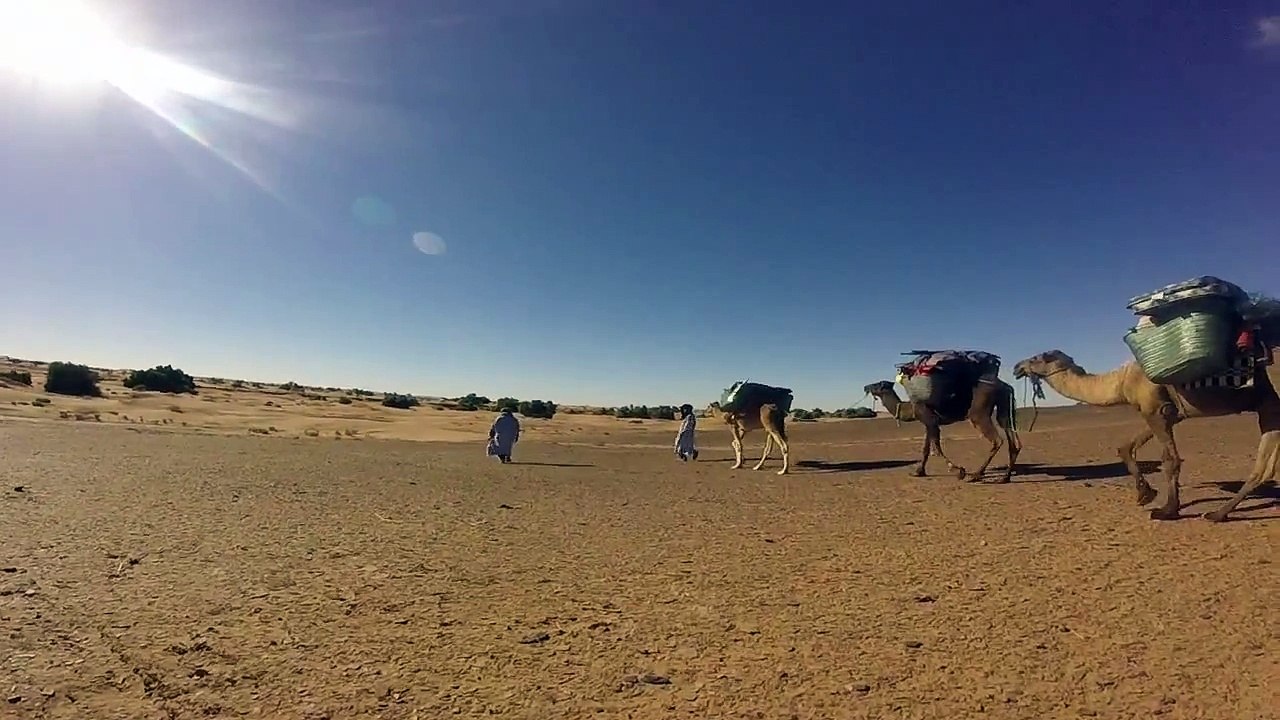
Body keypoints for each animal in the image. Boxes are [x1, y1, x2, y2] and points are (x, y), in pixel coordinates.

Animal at [863, 378, 1021, 483]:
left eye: (877, 384)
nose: (865, 386)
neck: (911, 408)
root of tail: (1006, 386)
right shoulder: (928, 423)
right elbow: (926, 449)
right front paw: (918, 472)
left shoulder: (931, 420)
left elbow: (937, 448)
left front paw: (958, 471)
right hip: (1004, 406)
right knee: (1013, 440)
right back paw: (1004, 477)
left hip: (978, 413)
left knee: (997, 440)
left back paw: (975, 475)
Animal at [1012, 342, 1280, 522]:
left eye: (1037, 357)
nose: (1016, 367)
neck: (1121, 380)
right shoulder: (1165, 413)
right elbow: (1125, 447)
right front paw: (1145, 494)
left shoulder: (1155, 410)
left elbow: (1171, 460)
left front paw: (1167, 510)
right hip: (1269, 405)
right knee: (1264, 469)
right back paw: (1219, 513)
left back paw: (1216, 514)